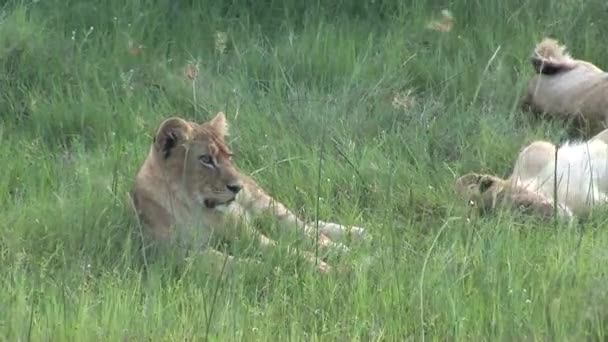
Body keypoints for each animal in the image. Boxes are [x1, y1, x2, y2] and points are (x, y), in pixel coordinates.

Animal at [129, 113, 366, 276]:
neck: (194, 207)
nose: (237, 187)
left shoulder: (246, 233)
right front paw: (275, 270)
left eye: (229, 156)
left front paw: (326, 267)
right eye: (206, 159)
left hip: (267, 205)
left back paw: (353, 244)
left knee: (307, 229)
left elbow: (286, 249)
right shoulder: (178, 252)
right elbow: (236, 264)